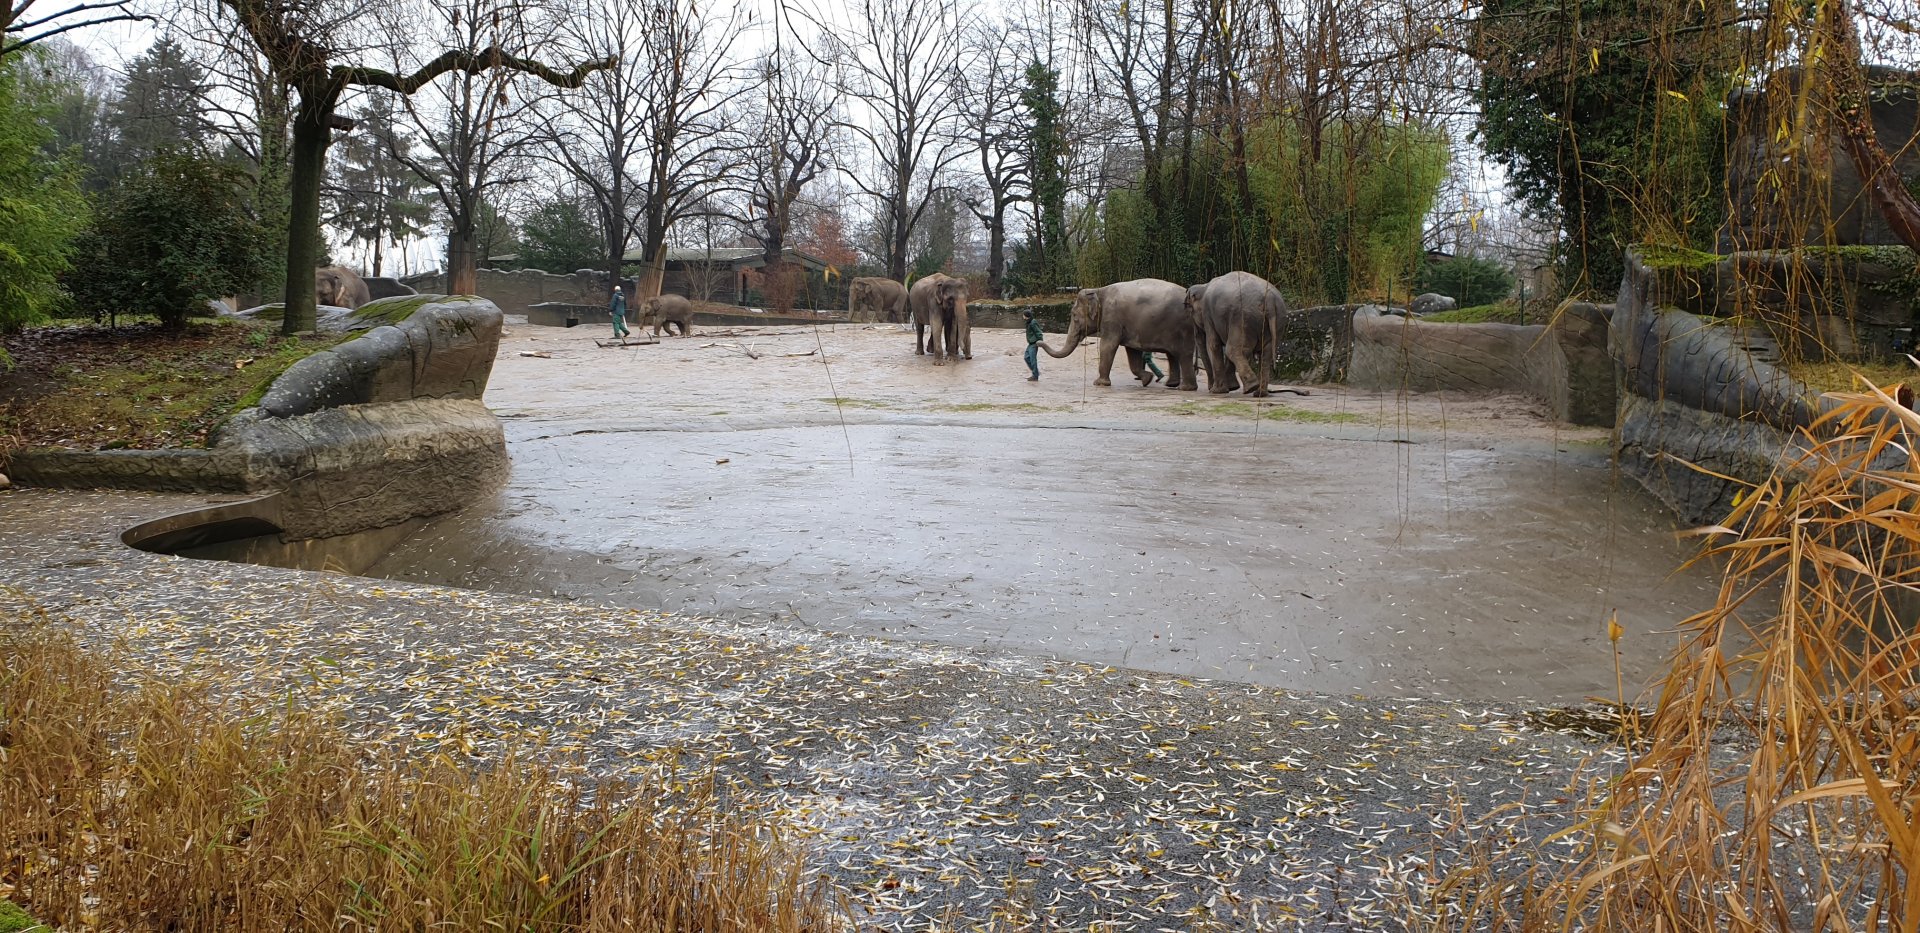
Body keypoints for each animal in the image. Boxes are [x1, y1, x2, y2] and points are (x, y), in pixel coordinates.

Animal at [1039, 278, 1200, 390]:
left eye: (1074, 316)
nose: (1037, 342)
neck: (1099, 290)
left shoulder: (1111, 318)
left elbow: (1108, 345)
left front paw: (1099, 384)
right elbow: (1132, 353)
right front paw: (1147, 379)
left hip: (1183, 328)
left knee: (1183, 354)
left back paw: (1186, 388)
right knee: (1172, 354)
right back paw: (1171, 384)